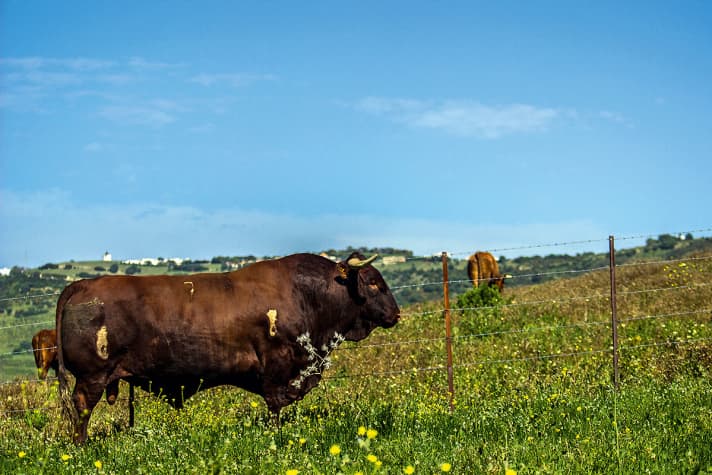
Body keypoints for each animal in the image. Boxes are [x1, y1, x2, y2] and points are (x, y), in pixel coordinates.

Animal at [55, 255, 400, 444]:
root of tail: (80, 285)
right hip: (92, 377)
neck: (307, 294)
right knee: (82, 408)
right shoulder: (277, 367)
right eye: (373, 282)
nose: (396, 314)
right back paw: (82, 444)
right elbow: (274, 406)